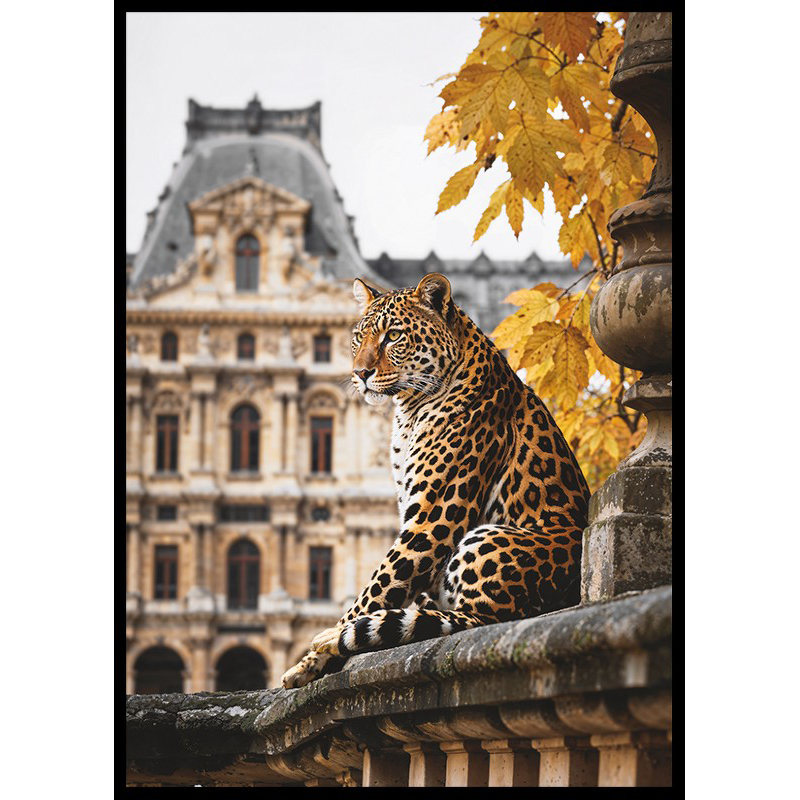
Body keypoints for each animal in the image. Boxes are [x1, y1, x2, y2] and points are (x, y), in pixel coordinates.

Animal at [281, 272, 591, 688]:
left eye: (393, 336)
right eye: (359, 337)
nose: (360, 374)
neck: (408, 410)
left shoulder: (431, 520)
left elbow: (374, 589)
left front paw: (312, 658)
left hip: (487, 539)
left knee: (472, 622)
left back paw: (336, 637)